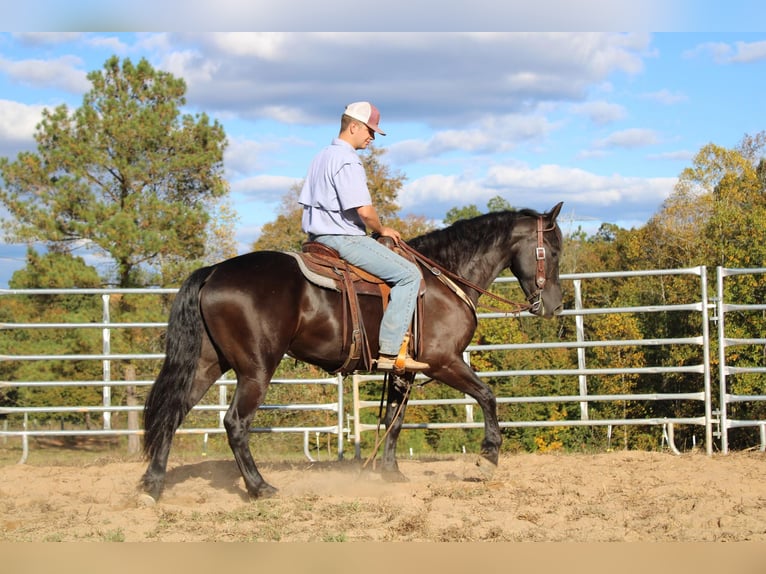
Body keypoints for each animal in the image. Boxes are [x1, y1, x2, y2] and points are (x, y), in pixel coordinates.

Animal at [142, 202, 564, 500]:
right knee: (234, 424)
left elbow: (395, 418)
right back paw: (260, 488)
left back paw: (152, 485)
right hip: (256, 370)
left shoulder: (404, 369)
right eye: (554, 252)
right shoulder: (443, 361)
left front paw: (391, 471)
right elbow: (487, 396)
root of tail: (214, 271)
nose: (555, 306)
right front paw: (488, 458)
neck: (442, 279)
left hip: (206, 363)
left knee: (172, 413)